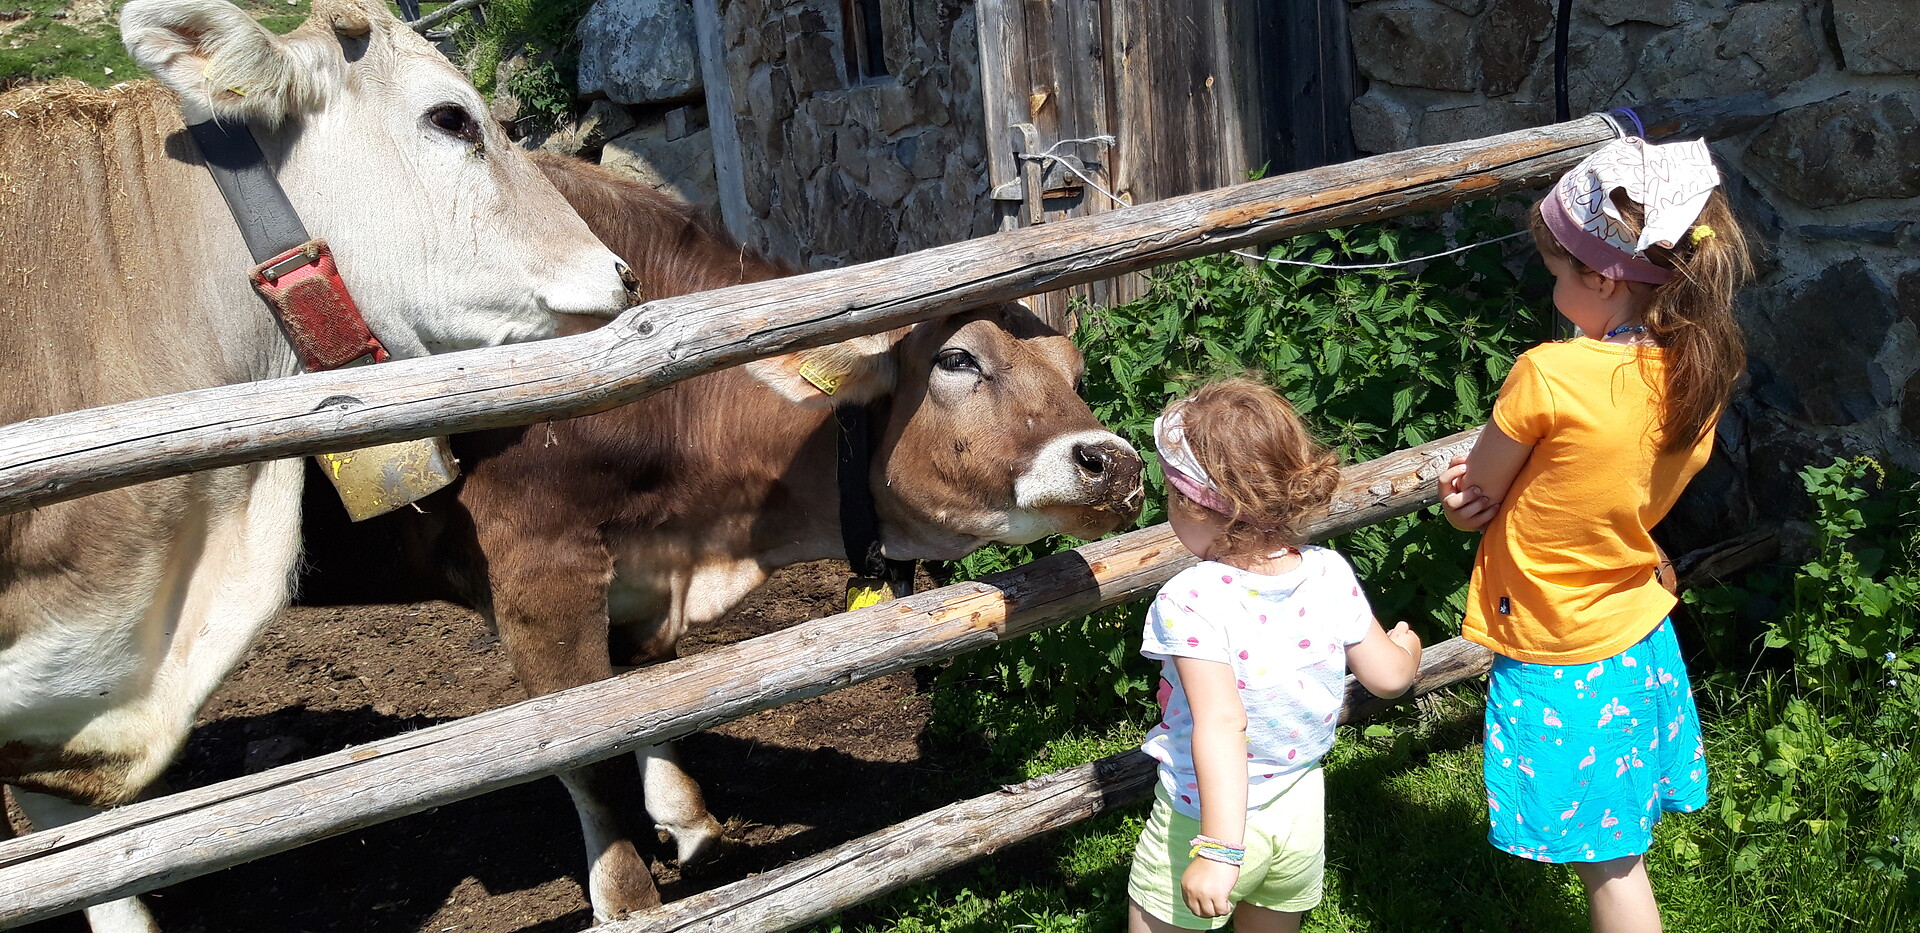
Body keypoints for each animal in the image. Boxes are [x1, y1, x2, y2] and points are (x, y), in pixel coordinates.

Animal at [295, 152, 1147, 922]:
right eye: (957, 357)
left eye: (1075, 372)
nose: (1114, 461)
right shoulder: (537, 573)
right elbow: (585, 747)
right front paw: (628, 900)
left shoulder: (644, 578)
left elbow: (654, 695)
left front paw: (687, 820)